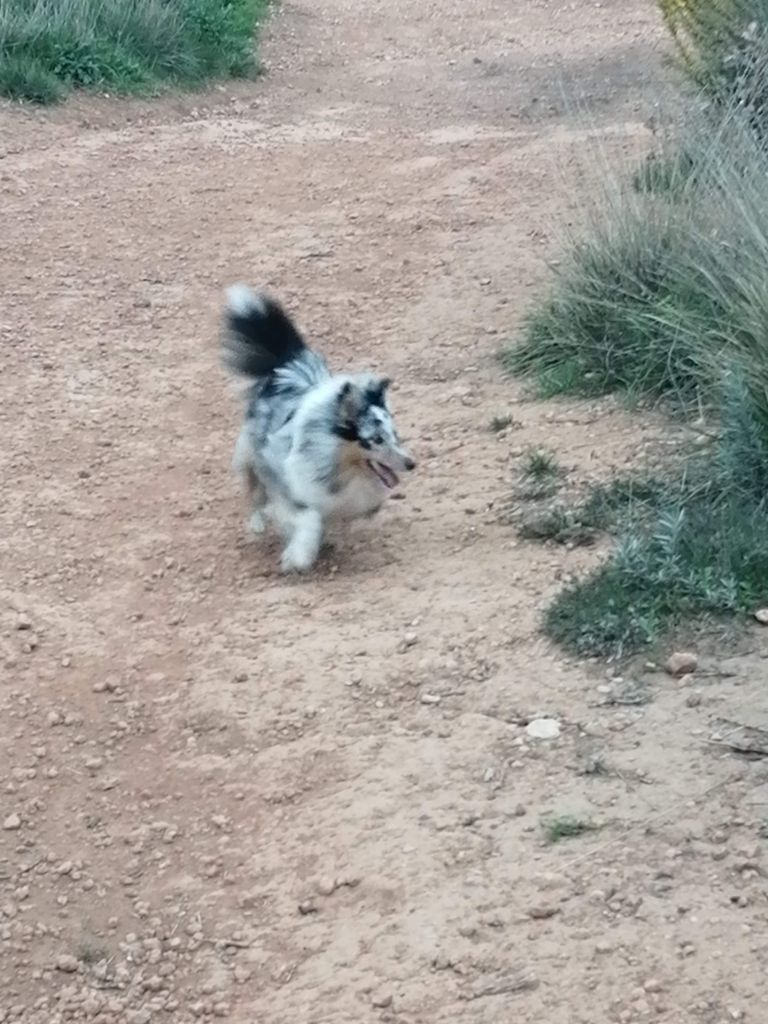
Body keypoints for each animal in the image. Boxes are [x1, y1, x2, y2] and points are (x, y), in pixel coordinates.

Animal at [219, 286, 417, 577]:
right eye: (376, 439)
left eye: (396, 435)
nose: (411, 463)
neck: (341, 466)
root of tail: (288, 366)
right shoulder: (288, 488)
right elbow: (308, 518)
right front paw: (297, 557)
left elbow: (335, 520)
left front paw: (328, 541)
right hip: (250, 457)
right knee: (254, 492)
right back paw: (257, 525)